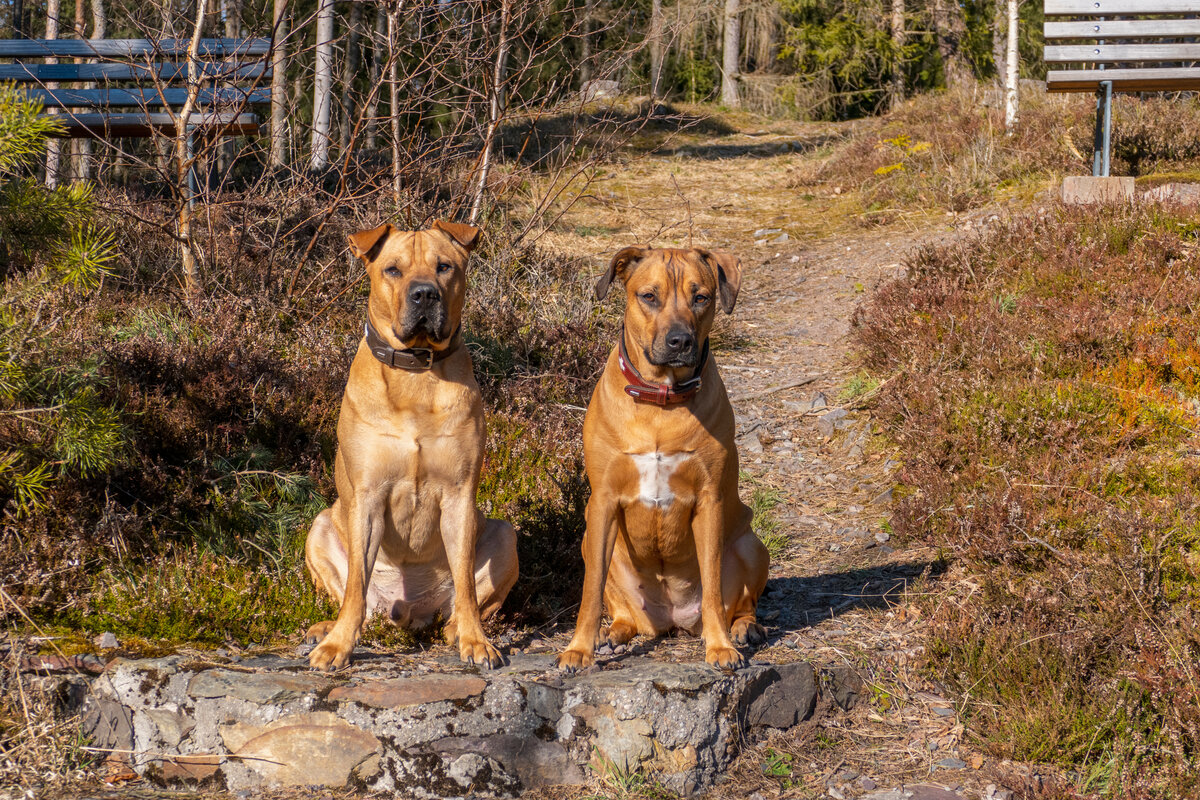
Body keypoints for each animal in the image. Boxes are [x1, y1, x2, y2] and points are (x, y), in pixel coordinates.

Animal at [304, 217, 516, 671]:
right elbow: (354, 586)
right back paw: (326, 629)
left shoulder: (458, 496)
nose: (424, 294)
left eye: (444, 267)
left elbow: (467, 586)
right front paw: (337, 645)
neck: (417, 372)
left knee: (468, 599)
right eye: (393, 269)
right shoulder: (368, 497)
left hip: (505, 534)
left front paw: (476, 641)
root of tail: (410, 610)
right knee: (358, 600)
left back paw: (457, 628)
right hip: (321, 525)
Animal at [554, 244, 768, 671]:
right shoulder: (602, 502)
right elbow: (590, 592)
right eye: (649, 296)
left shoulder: (709, 501)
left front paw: (720, 646)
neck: (660, 402)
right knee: (622, 610)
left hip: (752, 544)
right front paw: (579, 648)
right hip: (591, 541)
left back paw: (742, 628)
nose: (679, 341)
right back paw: (612, 633)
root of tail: (671, 621)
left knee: (741, 601)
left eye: (701, 297)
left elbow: (714, 585)